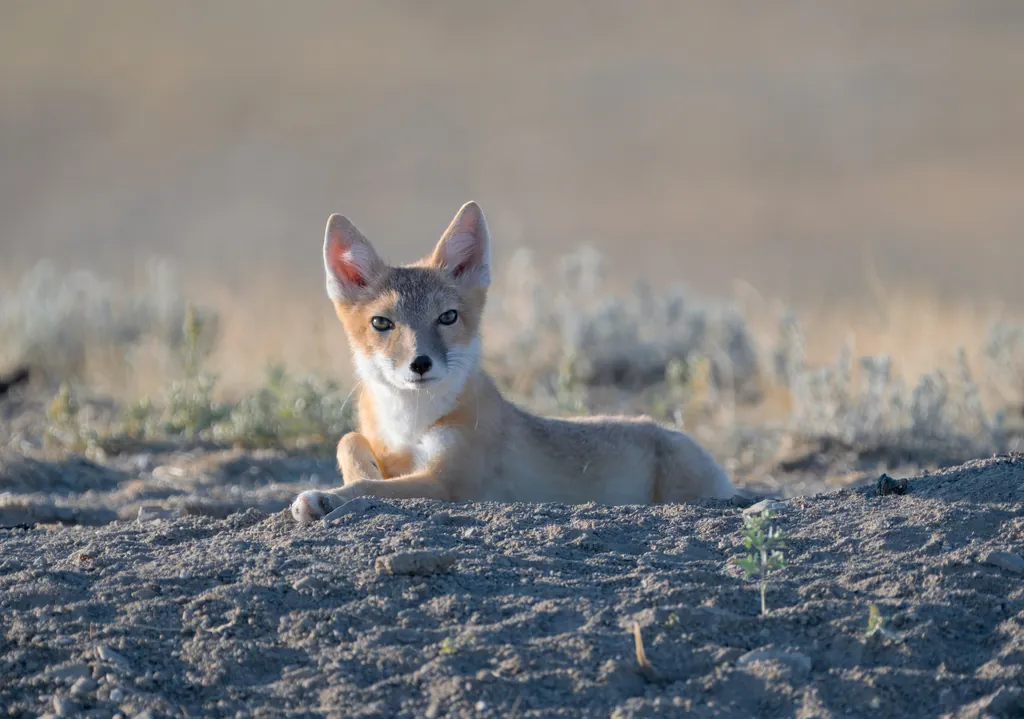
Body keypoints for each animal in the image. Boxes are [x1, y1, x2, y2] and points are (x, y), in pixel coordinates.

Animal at [290, 201, 735, 523]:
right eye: (382, 323)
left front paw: (326, 497)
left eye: (447, 317)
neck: (409, 421)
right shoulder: (387, 446)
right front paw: (348, 480)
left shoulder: (449, 483)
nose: (420, 364)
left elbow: (375, 489)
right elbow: (349, 442)